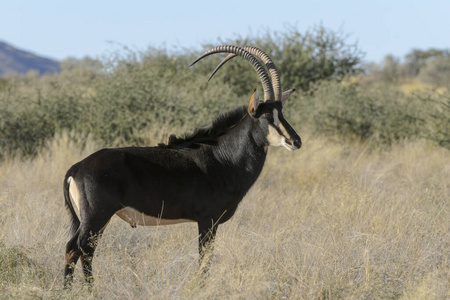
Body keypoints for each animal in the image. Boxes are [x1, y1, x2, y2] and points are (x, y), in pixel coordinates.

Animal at [62, 44, 302, 286]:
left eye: (281, 113)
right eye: (266, 117)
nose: (295, 141)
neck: (222, 156)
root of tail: (76, 168)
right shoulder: (207, 221)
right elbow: (204, 262)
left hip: (98, 221)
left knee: (84, 251)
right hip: (96, 217)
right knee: (75, 249)